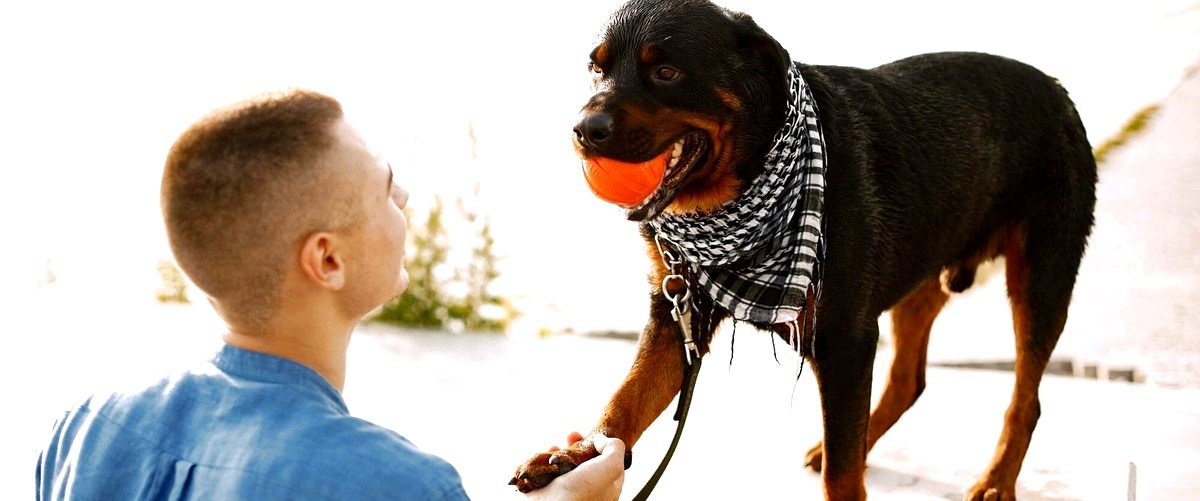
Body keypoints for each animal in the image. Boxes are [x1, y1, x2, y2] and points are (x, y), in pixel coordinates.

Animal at [506, 1, 1099, 498]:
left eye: (666, 73)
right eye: (596, 69)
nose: (584, 129)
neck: (734, 195)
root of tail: (1057, 89)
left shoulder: (845, 338)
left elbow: (843, 475)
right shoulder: (678, 313)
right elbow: (623, 403)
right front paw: (575, 460)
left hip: (1041, 277)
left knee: (1026, 399)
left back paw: (997, 481)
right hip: (922, 265)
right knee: (907, 380)